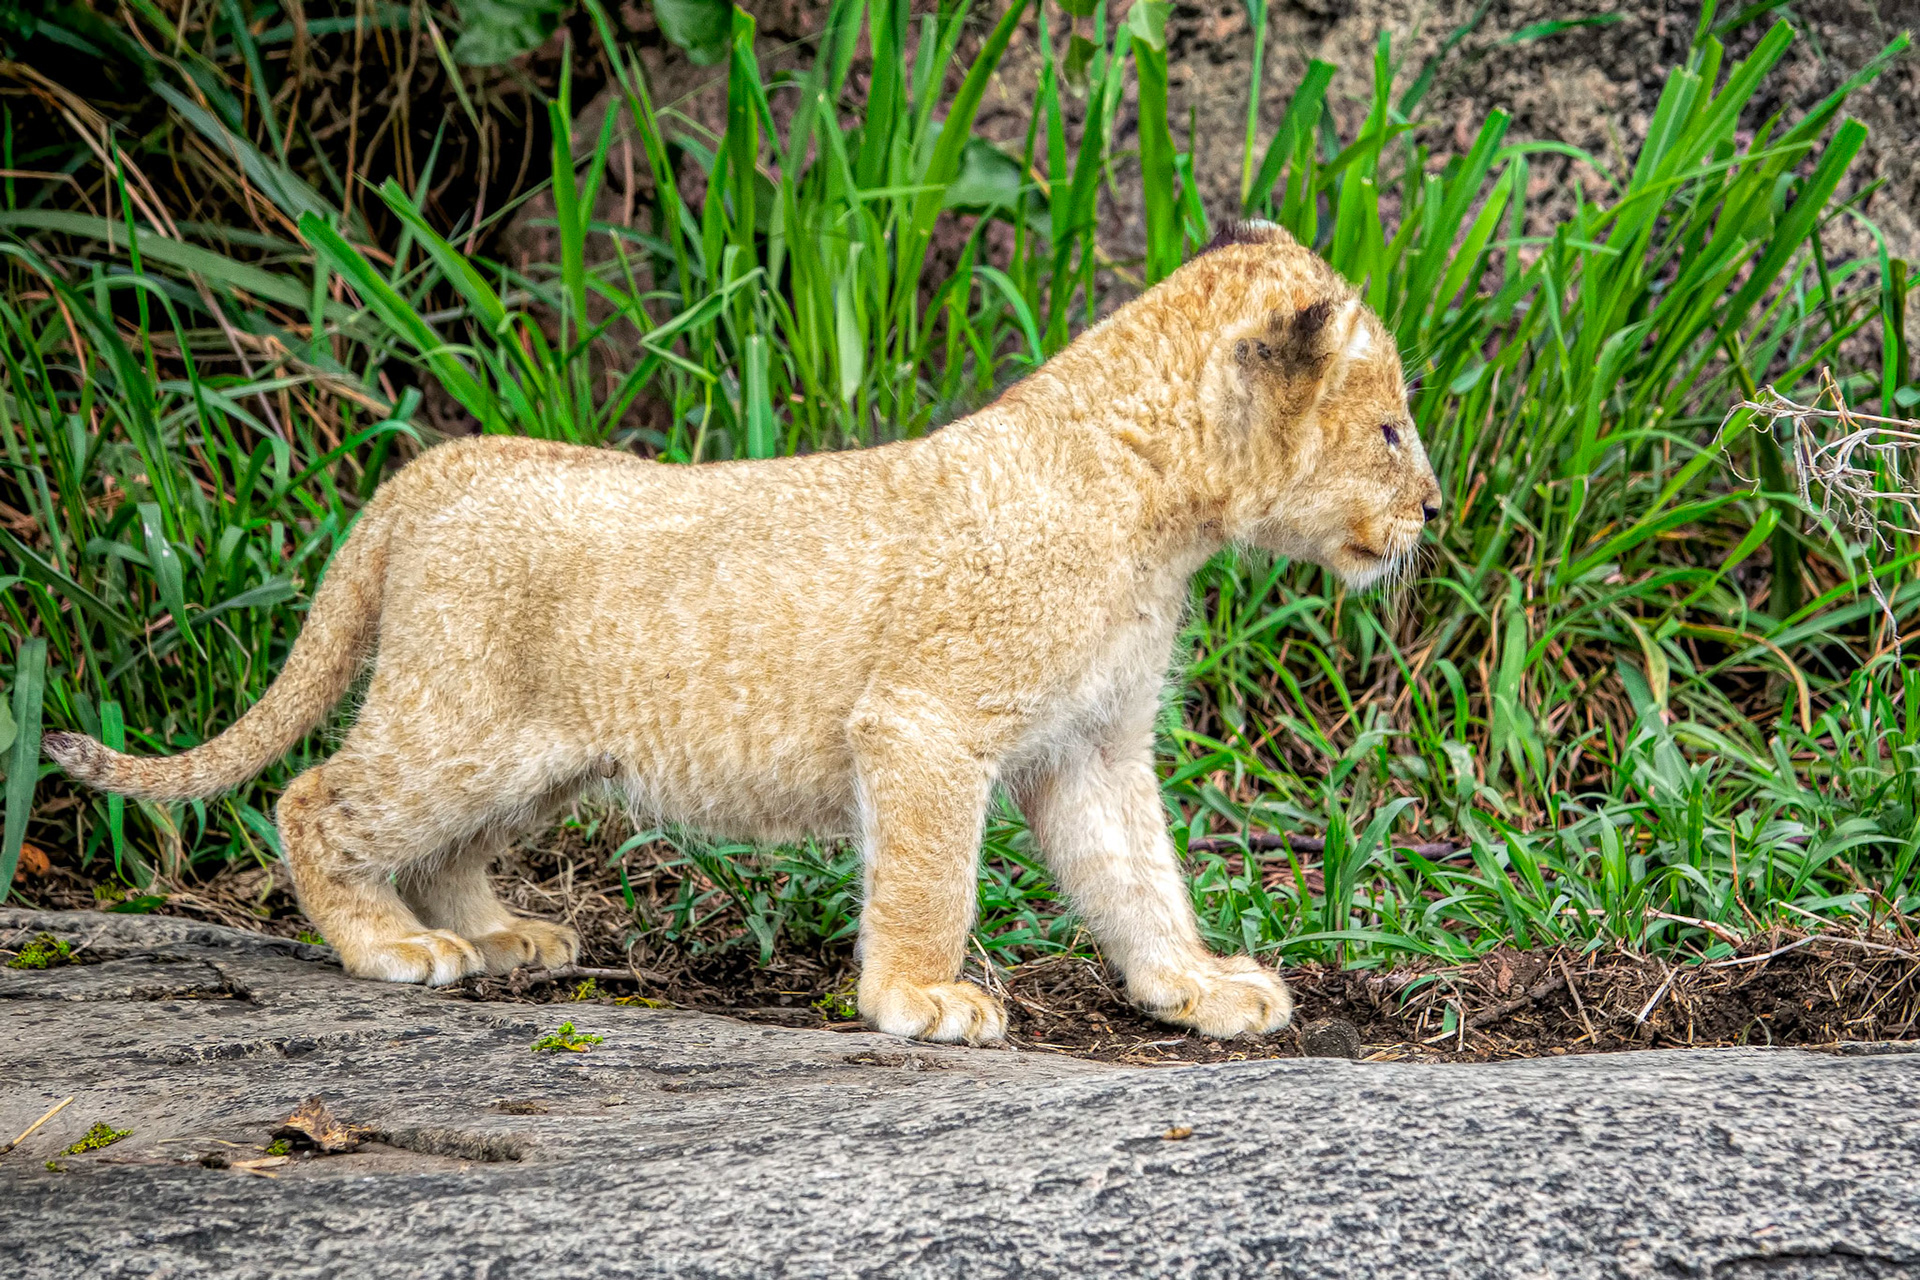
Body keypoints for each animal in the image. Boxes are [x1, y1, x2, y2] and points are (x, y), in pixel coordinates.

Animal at [45, 221, 1441, 1044]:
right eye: (1387, 428)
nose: (1433, 508)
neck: (1161, 519)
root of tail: (440, 466)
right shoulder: (925, 722)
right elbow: (933, 880)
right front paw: (918, 998)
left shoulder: (1090, 744)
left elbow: (1139, 877)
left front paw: (1199, 987)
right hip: (463, 724)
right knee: (317, 798)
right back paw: (394, 946)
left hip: (541, 758)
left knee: (441, 845)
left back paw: (500, 935)